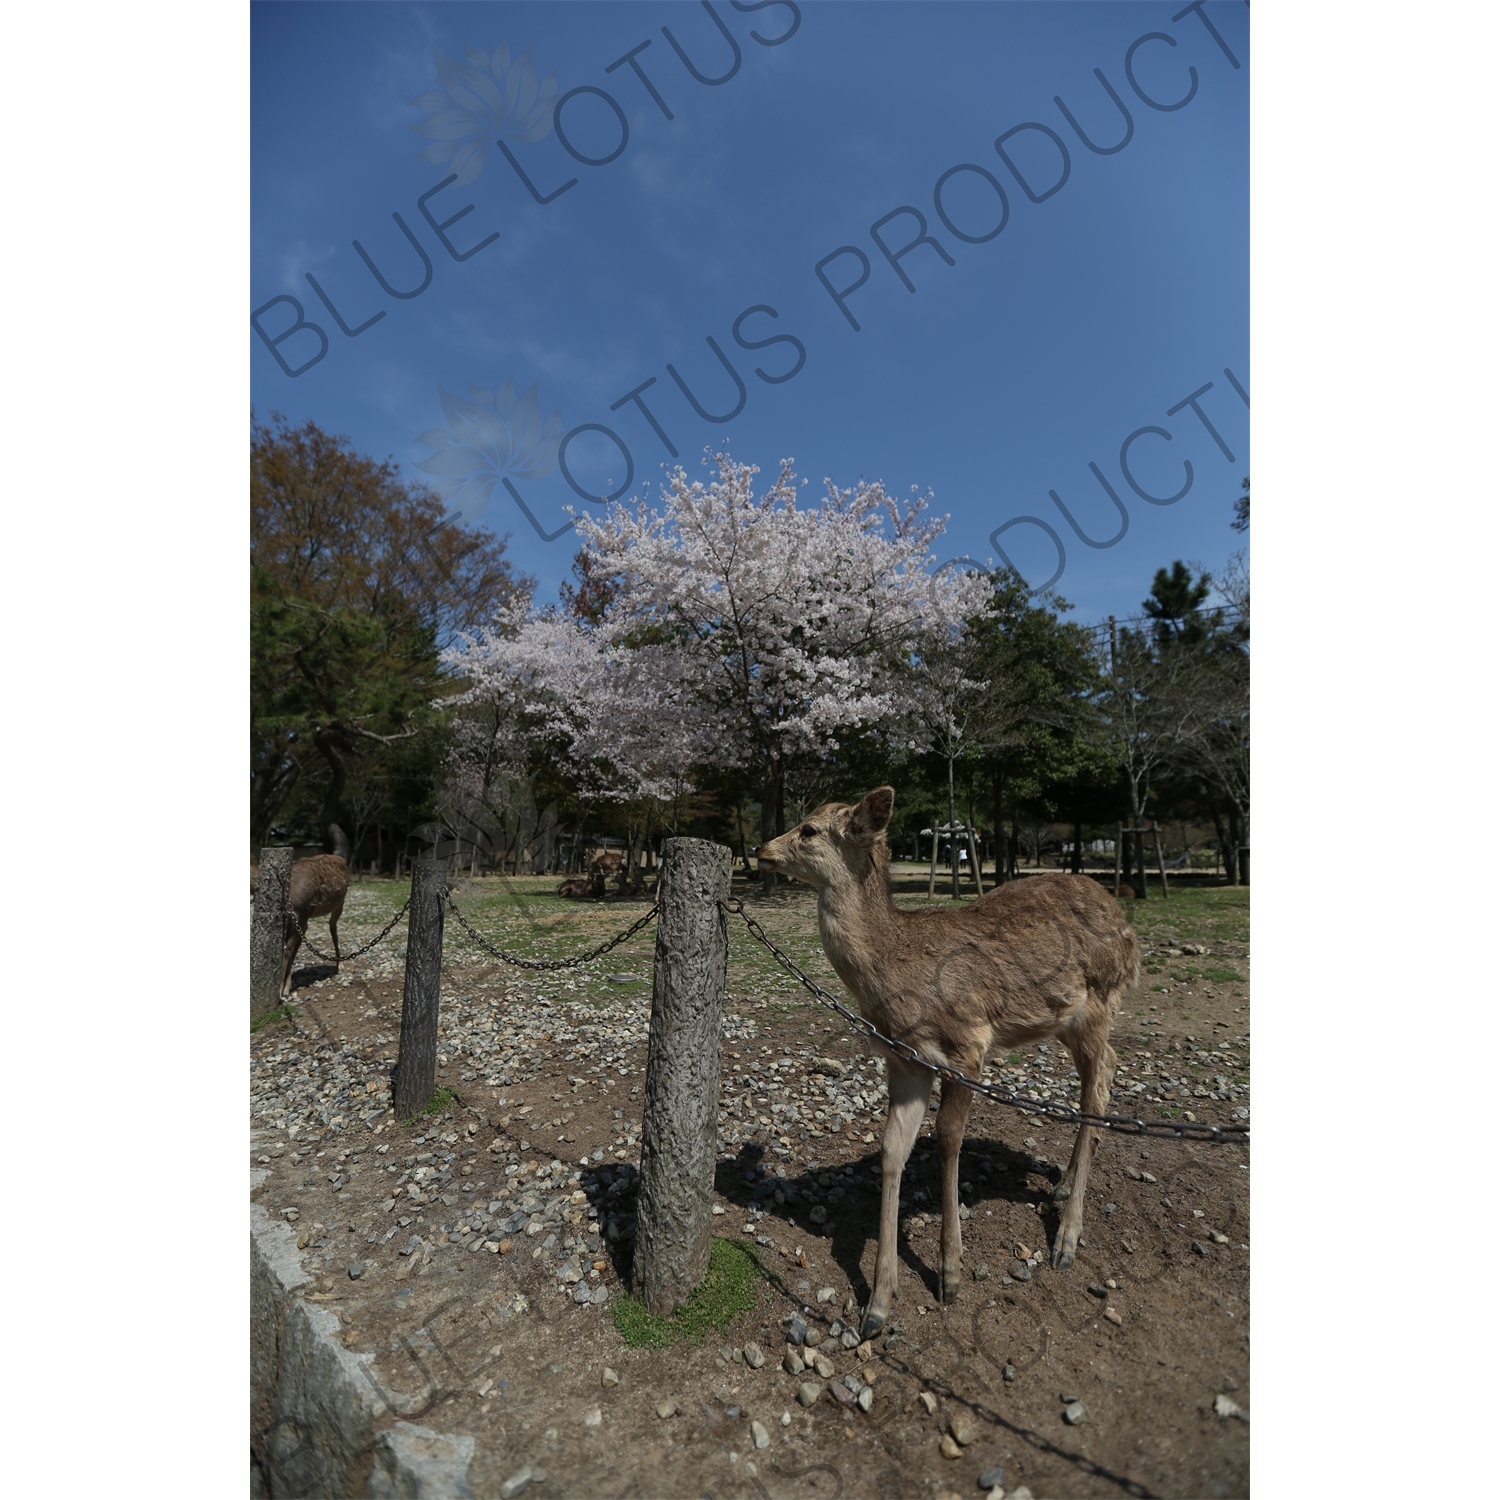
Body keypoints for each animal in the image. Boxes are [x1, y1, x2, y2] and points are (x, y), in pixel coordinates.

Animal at [756, 786, 1140, 1338]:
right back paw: (1063, 1186)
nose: (760, 849)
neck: (896, 980)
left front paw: (950, 1273)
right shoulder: (905, 1062)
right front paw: (878, 1303)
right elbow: (892, 1150)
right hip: (1069, 1021)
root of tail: (1126, 924)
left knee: (1100, 1085)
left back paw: (1066, 1240)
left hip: (1100, 1003)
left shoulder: (967, 1047)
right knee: (1106, 1072)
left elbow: (948, 1139)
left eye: (808, 829)